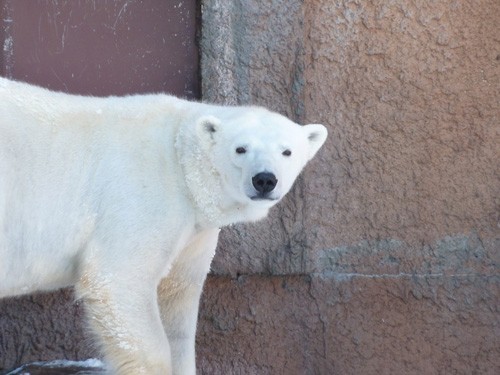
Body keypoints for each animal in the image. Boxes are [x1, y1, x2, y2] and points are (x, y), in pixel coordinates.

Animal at [0, 78, 328, 374]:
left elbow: (178, 301)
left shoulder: (195, 232)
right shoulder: (141, 195)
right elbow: (119, 279)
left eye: (287, 151)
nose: (264, 179)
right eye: (240, 149)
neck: (180, 157)